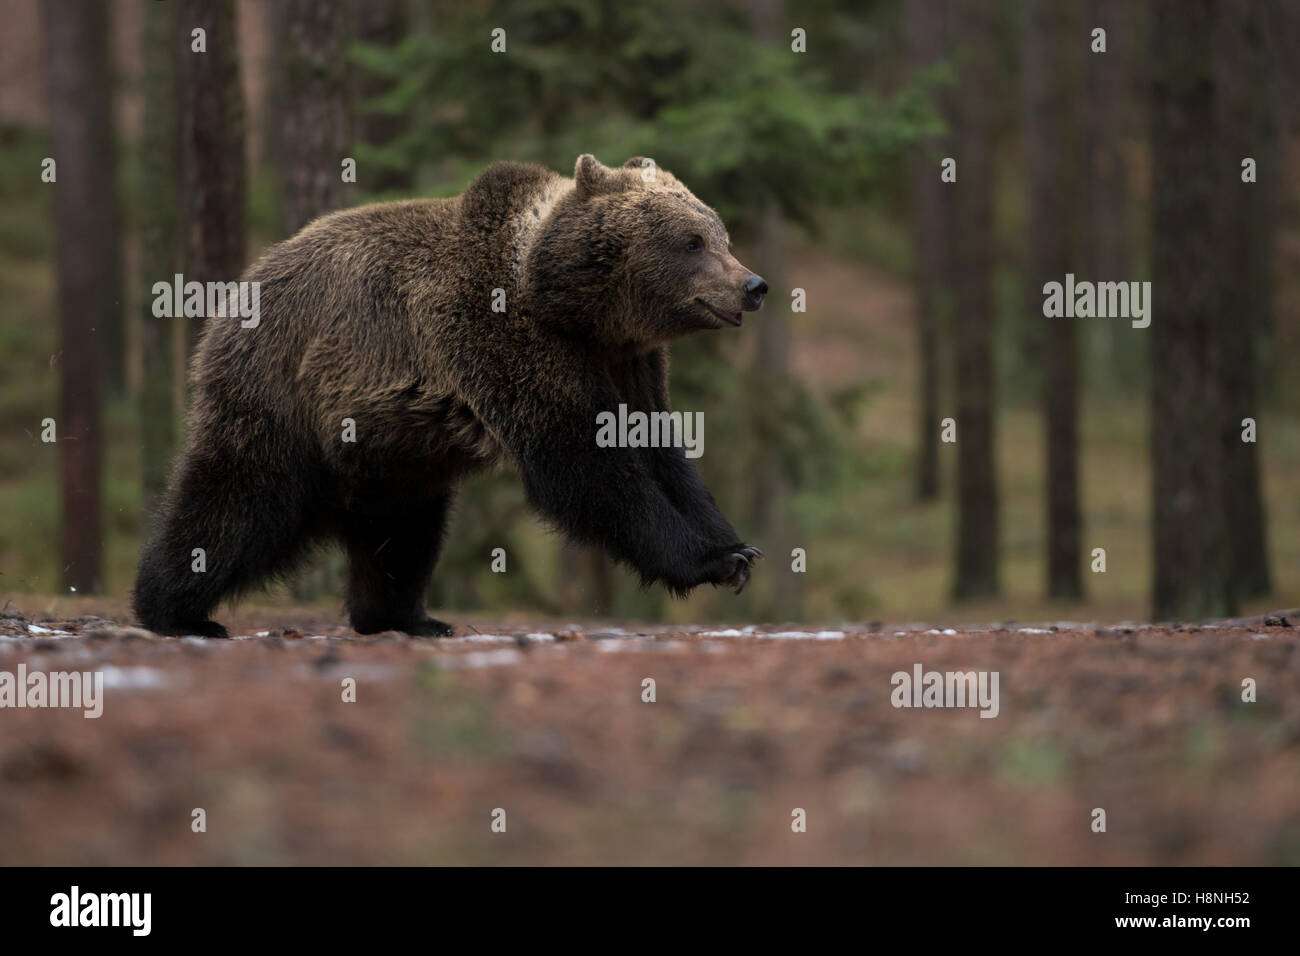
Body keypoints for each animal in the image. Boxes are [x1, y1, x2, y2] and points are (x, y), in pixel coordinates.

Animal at [134, 155, 759, 634]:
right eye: (692, 241)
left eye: (721, 234)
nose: (753, 285)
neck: (573, 310)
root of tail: (237, 291)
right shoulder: (507, 343)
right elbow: (589, 468)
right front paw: (709, 560)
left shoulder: (630, 366)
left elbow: (662, 455)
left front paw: (735, 548)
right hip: (283, 394)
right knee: (237, 498)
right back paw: (174, 611)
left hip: (391, 453)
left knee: (404, 534)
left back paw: (406, 617)